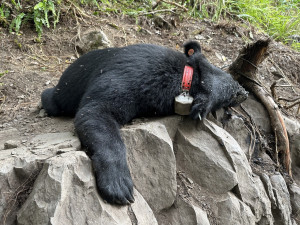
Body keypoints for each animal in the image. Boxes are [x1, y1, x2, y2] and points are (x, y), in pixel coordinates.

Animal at [41, 41, 247, 205]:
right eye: (233, 87)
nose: (245, 92)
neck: (184, 79)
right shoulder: (133, 76)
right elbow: (95, 111)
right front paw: (119, 186)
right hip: (65, 92)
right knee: (54, 99)